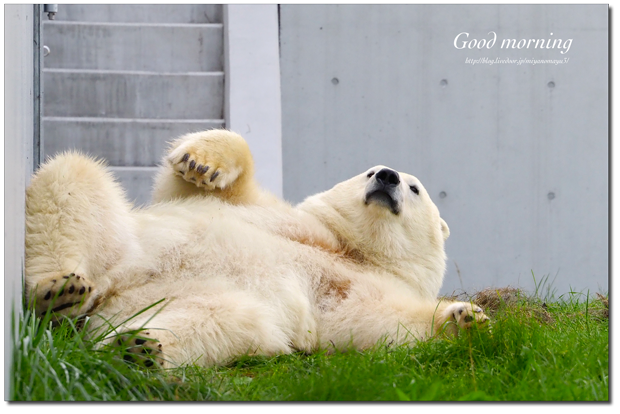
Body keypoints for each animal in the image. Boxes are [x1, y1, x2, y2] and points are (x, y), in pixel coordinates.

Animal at [25, 130, 490, 368]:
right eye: (369, 170)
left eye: (414, 188)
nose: (388, 176)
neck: (352, 250)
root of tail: (107, 301)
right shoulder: (282, 215)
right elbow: (199, 188)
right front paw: (199, 162)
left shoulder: (356, 289)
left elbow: (380, 324)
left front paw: (466, 318)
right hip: (123, 244)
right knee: (71, 179)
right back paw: (58, 288)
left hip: (189, 302)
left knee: (225, 321)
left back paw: (136, 347)